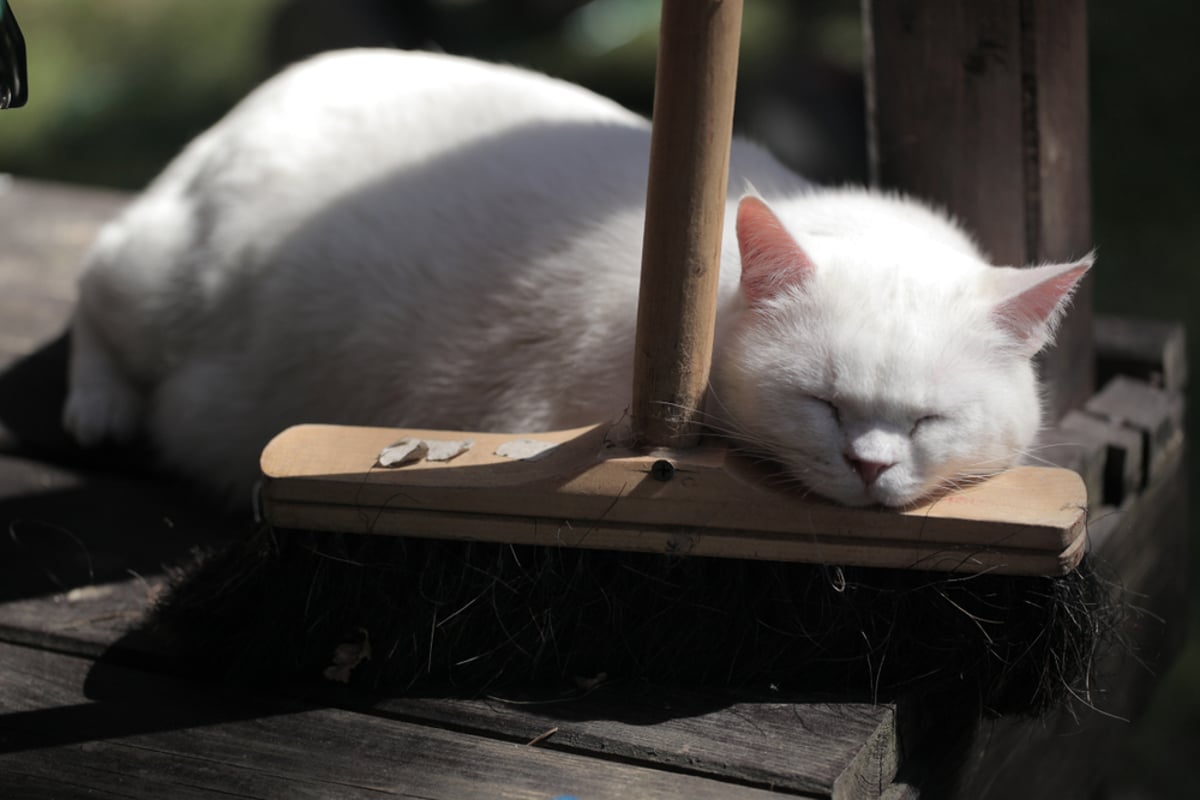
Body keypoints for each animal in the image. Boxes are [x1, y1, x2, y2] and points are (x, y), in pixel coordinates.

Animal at [60, 50, 1094, 510]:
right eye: (823, 403)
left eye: (928, 421)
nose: (869, 464)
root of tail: (260, 94)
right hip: (158, 279)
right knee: (93, 280)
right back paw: (99, 408)